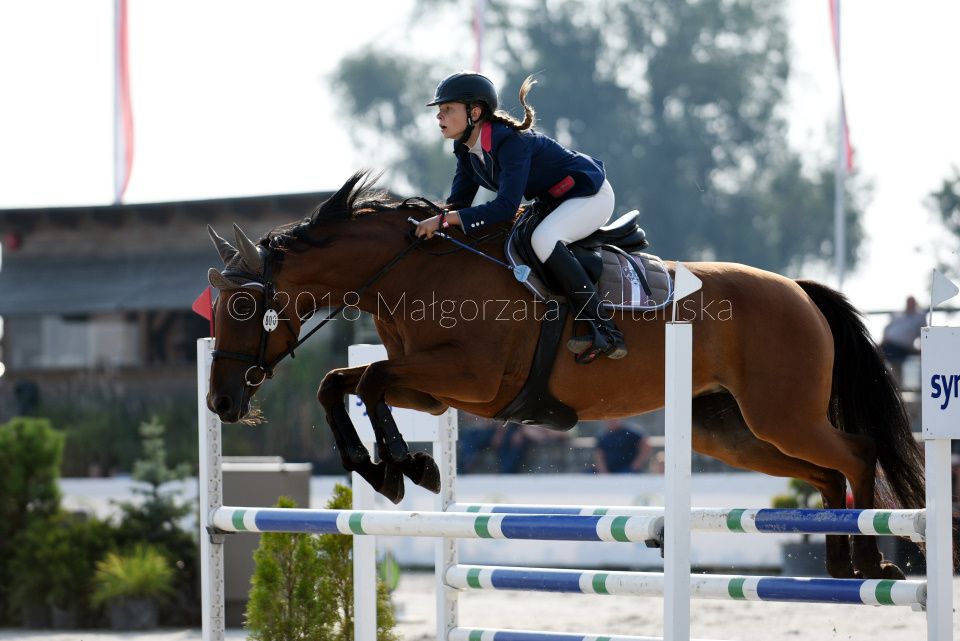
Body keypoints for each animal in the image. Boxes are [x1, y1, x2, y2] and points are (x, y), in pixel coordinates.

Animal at [205, 171, 925, 580]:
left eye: (241, 306)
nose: (219, 401)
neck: (412, 268)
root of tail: (801, 291)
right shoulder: (438, 391)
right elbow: (341, 382)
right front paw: (388, 467)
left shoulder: (468, 378)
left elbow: (368, 380)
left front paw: (404, 468)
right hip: (734, 431)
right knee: (826, 473)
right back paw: (840, 562)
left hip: (782, 413)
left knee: (856, 454)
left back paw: (875, 559)